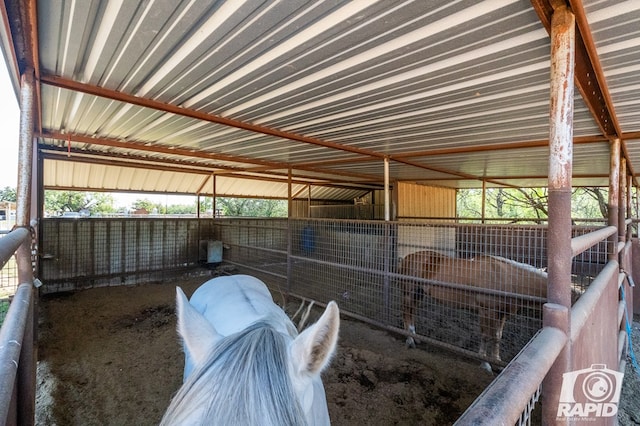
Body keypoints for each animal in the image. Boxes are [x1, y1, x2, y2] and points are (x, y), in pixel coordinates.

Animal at [400, 250, 544, 370]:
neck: (506, 277)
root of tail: (408, 257)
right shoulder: (486, 311)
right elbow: (486, 336)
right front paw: (485, 364)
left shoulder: (502, 314)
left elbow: (497, 336)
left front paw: (498, 362)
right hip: (410, 293)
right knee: (407, 313)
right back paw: (410, 340)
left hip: (418, 294)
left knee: (412, 313)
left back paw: (415, 338)